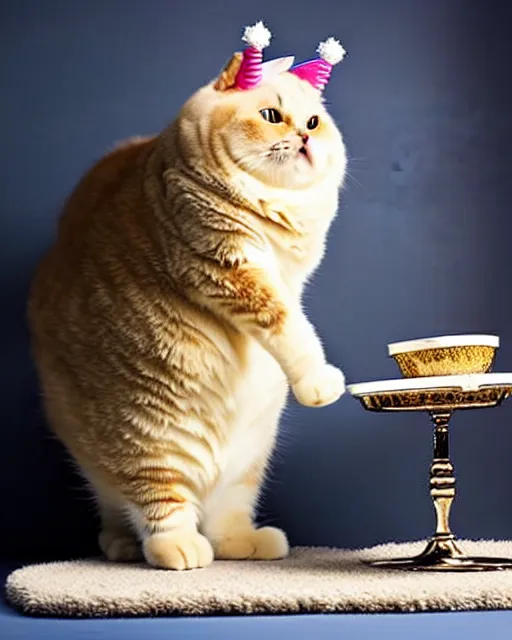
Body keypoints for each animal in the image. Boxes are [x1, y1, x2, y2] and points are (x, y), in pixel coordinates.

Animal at [28, 27, 348, 572]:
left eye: (313, 122)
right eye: (271, 116)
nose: (306, 138)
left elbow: (295, 318)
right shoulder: (227, 267)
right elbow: (290, 328)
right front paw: (320, 381)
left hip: (249, 453)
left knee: (220, 513)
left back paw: (237, 543)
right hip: (146, 429)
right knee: (149, 503)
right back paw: (167, 547)